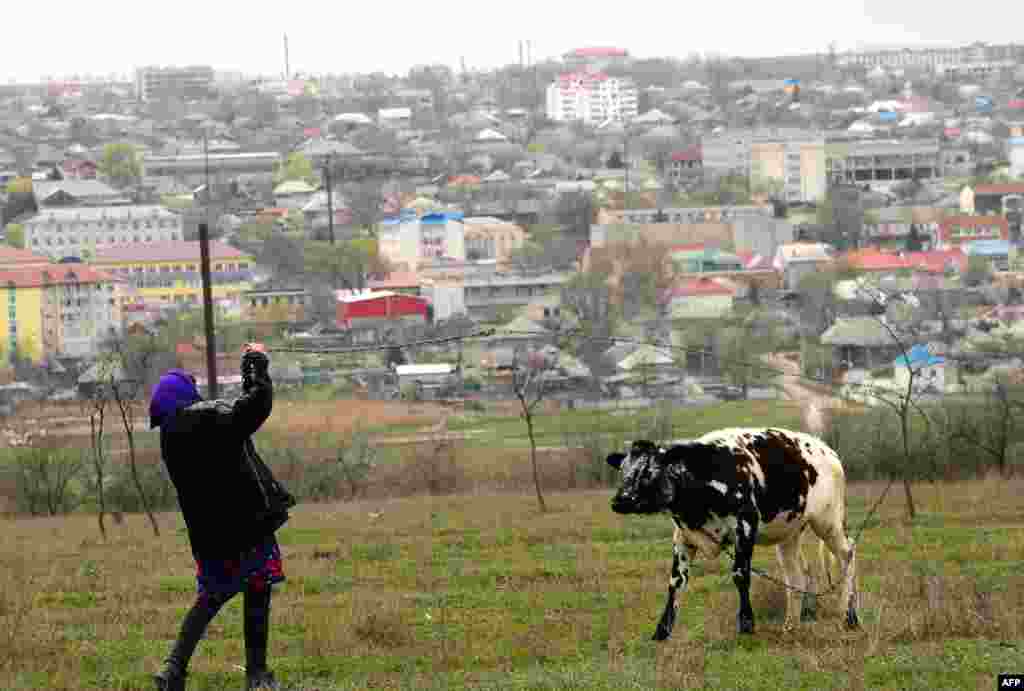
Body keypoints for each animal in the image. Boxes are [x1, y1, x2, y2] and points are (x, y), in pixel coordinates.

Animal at [602, 429, 860, 638]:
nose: (619, 501)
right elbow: (676, 582)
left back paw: (849, 617)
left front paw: (746, 625)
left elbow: (740, 574)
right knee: (797, 575)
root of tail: (827, 450)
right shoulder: (684, 537)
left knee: (847, 554)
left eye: (649, 472)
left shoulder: (745, 526)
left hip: (828, 522)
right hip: (789, 533)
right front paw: (661, 633)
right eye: (623, 471)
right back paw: (790, 626)